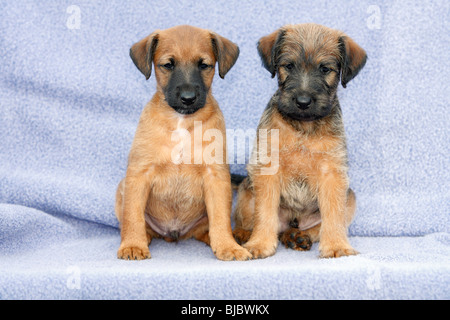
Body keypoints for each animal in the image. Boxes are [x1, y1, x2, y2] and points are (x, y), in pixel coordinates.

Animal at [117, 25, 253, 260]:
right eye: (168, 65)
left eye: (204, 65)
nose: (188, 98)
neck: (182, 121)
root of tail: (174, 234)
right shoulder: (139, 174)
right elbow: (132, 215)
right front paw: (133, 244)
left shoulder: (216, 177)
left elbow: (220, 218)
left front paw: (228, 246)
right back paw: (144, 238)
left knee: (207, 228)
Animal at [234, 23, 368, 258]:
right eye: (288, 65)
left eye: (325, 69)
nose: (303, 101)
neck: (303, 127)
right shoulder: (267, 170)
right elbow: (264, 213)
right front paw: (260, 243)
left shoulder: (332, 173)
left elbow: (334, 215)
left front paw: (336, 246)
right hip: (246, 191)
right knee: (247, 221)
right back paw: (244, 235)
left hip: (350, 198)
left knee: (316, 228)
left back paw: (297, 236)